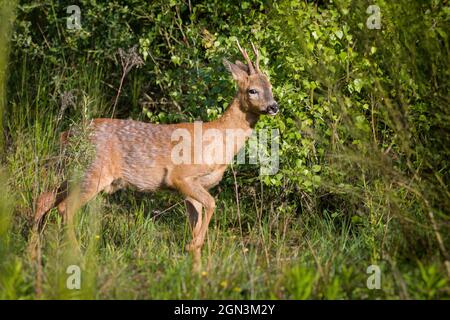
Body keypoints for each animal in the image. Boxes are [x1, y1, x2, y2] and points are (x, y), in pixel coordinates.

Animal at [35, 40, 280, 270]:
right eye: (253, 90)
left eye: (271, 86)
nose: (274, 107)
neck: (219, 141)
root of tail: (67, 134)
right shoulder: (181, 176)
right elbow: (212, 204)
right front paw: (191, 248)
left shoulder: (192, 189)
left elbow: (197, 222)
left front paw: (197, 271)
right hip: (94, 172)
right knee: (65, 208)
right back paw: (77, 257)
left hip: (75, 171)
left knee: (44, 198)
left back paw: (32, 254)